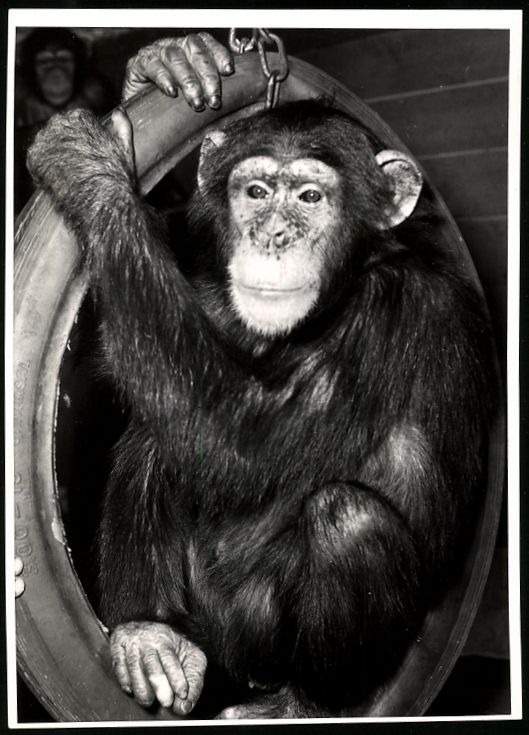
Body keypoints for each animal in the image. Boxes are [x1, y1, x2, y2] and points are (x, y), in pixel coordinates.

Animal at [26, 33, 496, 719]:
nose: (272, 236)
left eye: (309, 198)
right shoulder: (207, 277)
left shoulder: (399, 312)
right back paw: (151, 636)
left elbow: (238, 445)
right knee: (156, 431)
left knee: (346, 517)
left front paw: (87, 170)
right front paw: (169, 64)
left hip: (266, 648)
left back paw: (301, 704)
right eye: (254, 192)